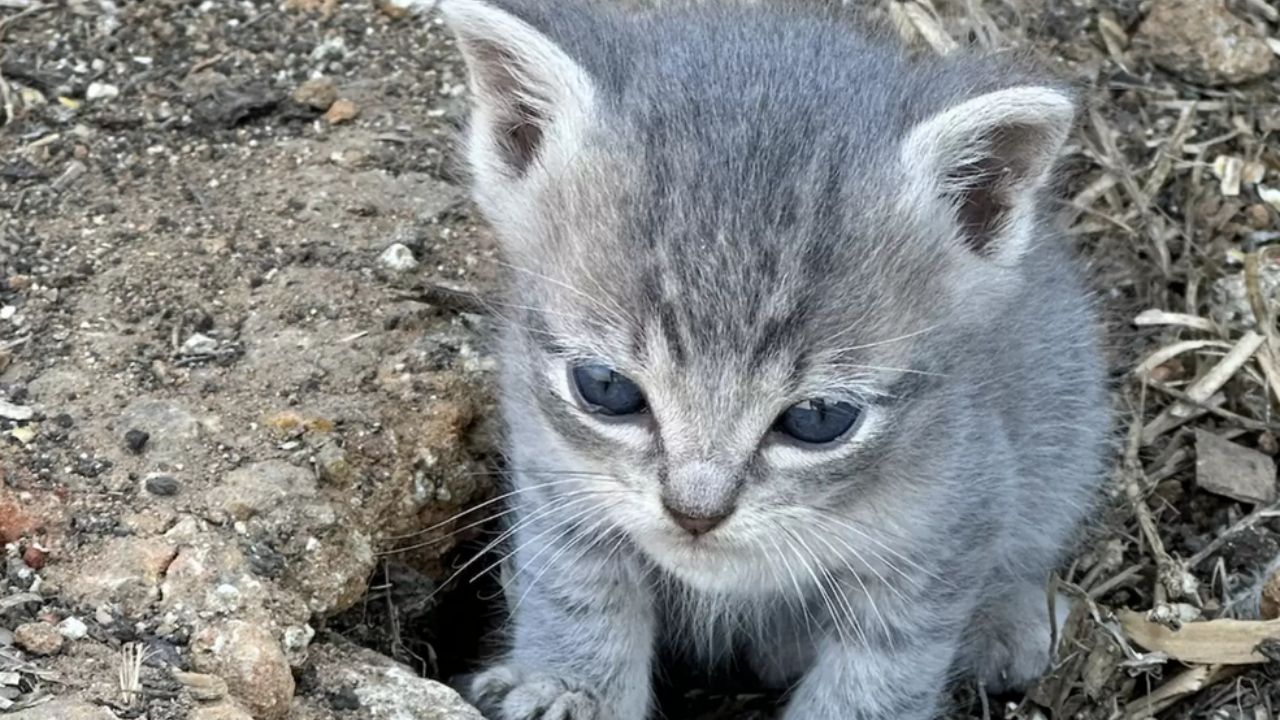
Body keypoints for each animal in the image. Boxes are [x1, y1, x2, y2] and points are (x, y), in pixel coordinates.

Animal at [432, 1, 1111, 717]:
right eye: (606, 388)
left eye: (818, 419)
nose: (695, 513)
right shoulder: (552, 470)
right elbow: (575, 591)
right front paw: (568, 686)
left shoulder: (957, 514)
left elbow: (880, 676)